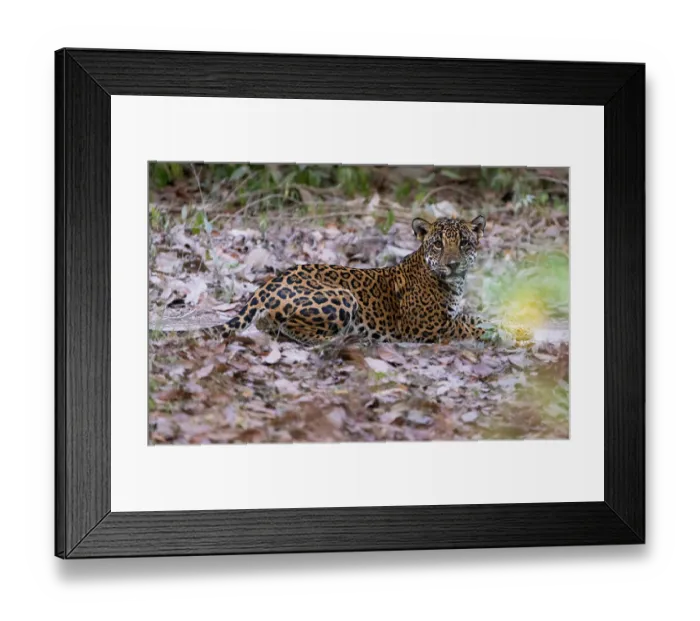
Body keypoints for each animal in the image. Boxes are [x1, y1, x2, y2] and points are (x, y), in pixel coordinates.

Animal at [219, 215, 487, 346]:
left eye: (464, 242)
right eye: (438, 244)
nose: (453, 264)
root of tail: (266, 286)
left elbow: (472, 318)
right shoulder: (429, 325)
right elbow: (469, 327)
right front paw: (492, 333)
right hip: (343, 296)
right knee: (288, 326)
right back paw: (341, 339)